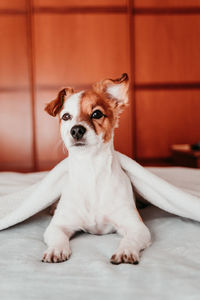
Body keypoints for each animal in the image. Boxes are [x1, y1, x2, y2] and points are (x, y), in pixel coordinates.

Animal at [42, 73, 152, 264]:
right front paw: (56, 249)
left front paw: (126, 250)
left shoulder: (137, 227)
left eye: (97, 114)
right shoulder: (57, 226)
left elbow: (130, 238)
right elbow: (58, 237)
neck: (90, 169)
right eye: (66, 117)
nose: (76, 130)